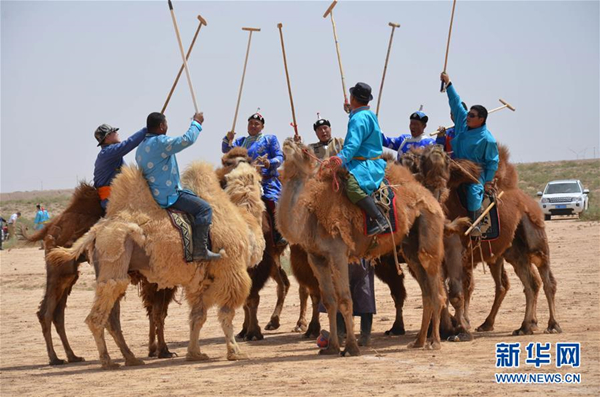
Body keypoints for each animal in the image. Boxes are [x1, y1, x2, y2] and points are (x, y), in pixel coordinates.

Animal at [44, 160, 264, 368]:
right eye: (260, 177)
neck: (244, 222)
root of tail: (96, 230)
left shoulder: (199, 282)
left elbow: (197, 316)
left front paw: (195, 353)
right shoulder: (231, 271)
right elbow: (226, 314)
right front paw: (235, 352)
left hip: (107, 267)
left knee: (110, 313)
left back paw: (131, 358)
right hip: (114, 251)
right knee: (96, 316)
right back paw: (107, 361)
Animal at [276, 138, 446, 354]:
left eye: (304, 148)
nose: (288, 140)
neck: (310, 214)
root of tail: (431, 197)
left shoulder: (338, 253)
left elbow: (345, 300)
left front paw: (350, 347)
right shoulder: (317, 257)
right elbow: (329, 301)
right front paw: (331, 347)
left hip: (429, 227)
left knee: (435, 287)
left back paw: (435, 342)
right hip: (410, 247)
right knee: (426, 290)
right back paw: (418, 341)